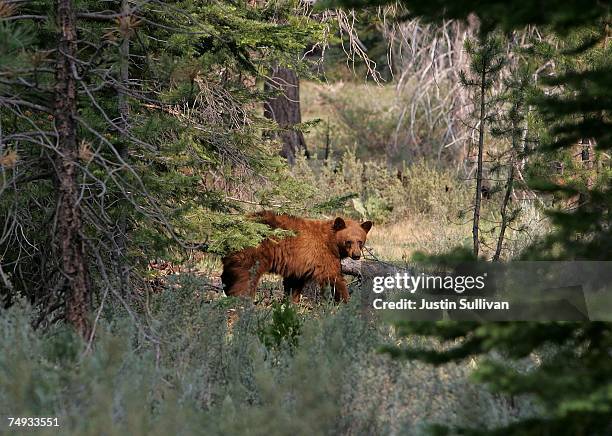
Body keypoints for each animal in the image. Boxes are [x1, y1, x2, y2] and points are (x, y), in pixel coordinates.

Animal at [221, 212, 372, 304]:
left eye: (360, 241)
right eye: (349, 241)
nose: (356, 255)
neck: (331, 241)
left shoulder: (299, 263)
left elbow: (294, 283)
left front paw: (290, 302)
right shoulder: (322, 255)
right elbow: (334, 277)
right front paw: (345, 300)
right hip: (253, 253)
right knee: (246, 278)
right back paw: (242, 299)